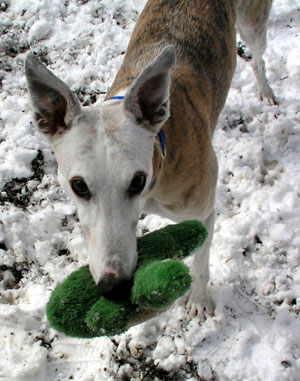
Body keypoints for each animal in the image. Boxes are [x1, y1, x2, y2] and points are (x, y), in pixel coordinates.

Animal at [25, 0, 276, 320]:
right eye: (78, 185)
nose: (113, 287)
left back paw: (266, 91)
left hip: (253, 25)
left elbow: (201, 261)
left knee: (258, 57)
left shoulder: (204, 210)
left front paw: (199, 300)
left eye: (138, 181)